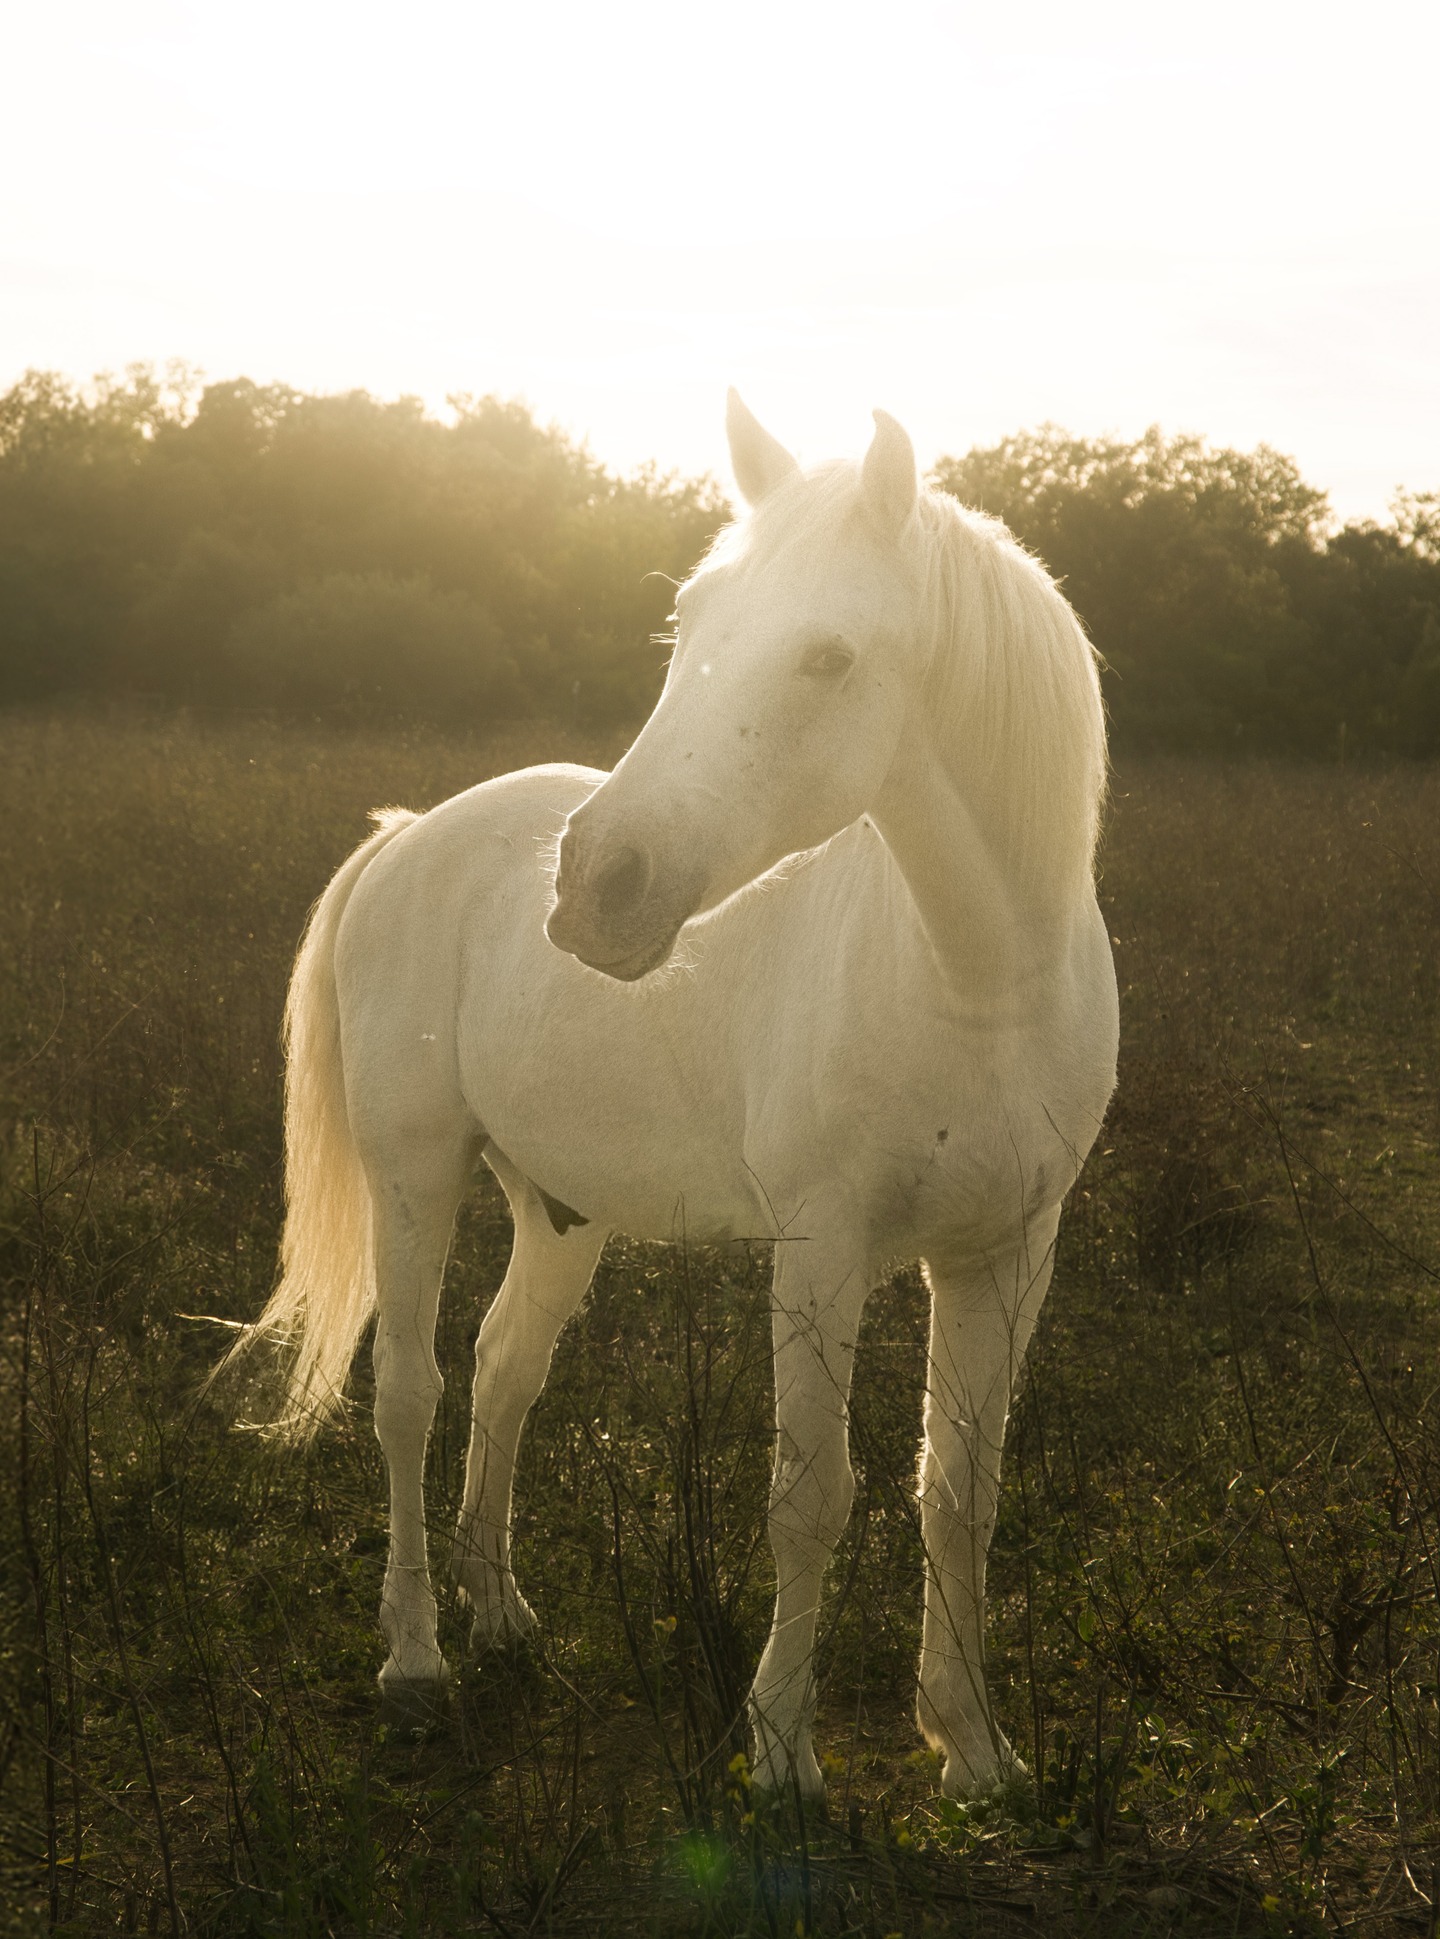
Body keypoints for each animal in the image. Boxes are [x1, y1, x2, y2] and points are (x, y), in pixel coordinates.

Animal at [226, 394, 1118, 1802]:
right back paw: (416, 1662)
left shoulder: (1007, 1252)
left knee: (503, 1372)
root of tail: (414, 832)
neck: (979, 979)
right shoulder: (821, 1247)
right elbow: (813, 1493)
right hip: (413, 1174)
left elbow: (959, 1490)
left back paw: (500, 1616)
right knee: (410, 1391)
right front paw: (783, 1755)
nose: (599, 883)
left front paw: (973, 1747)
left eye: (827, 657)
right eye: (688, 623)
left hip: (559, 1213)